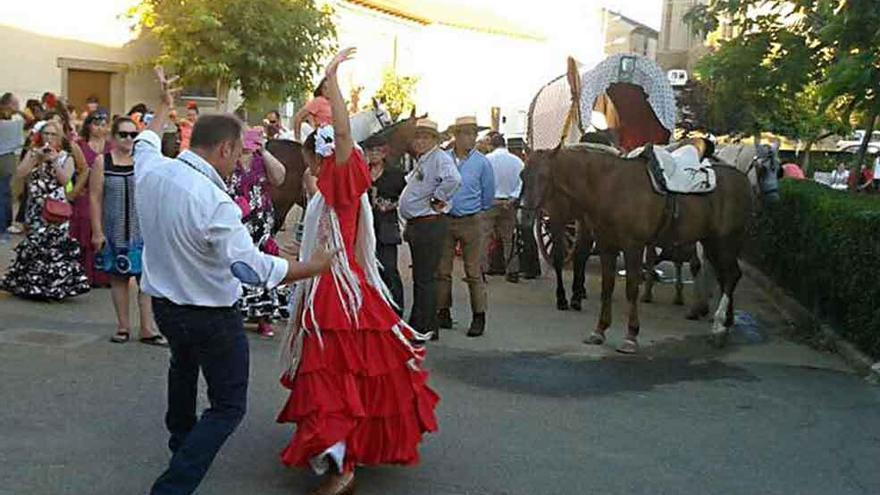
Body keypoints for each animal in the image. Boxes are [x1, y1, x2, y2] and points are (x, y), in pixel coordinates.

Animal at [524, 145, 756, 354]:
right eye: (522, 175)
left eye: (544, 176)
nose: (526, 213)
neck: (610, 186)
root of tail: (744, 181)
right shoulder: (608, 247)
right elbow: (607, 288)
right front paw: (600, 331)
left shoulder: (633, 247)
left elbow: (631, 289)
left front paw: (631, 336)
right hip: (712, 243)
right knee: (726, 276)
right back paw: (726, 324)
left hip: (725, 242)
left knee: (731, 276)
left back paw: (719, 326)